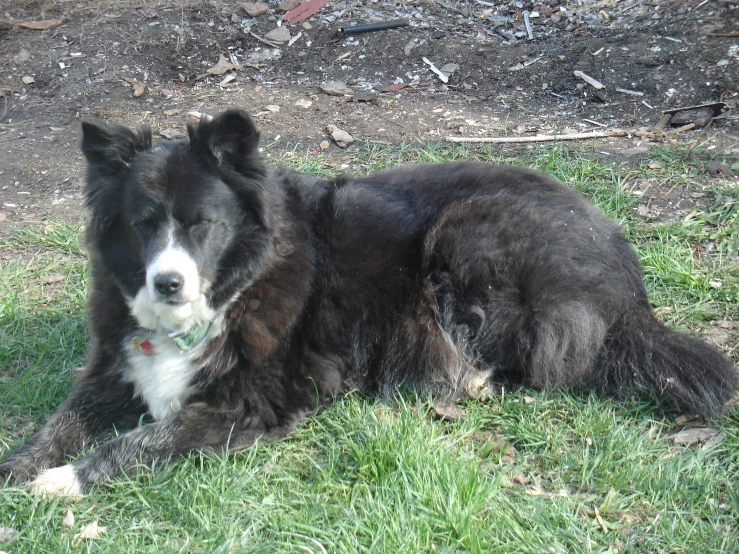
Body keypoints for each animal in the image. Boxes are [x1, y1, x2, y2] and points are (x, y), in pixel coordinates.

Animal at [2, 106, 736, 492]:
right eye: (144, 225)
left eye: (203, 224)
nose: (168, 283)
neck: (233, 291)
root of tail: (627, 279)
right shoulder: (114, 370)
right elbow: (60, 421)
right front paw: (22, 467)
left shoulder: (246, 403)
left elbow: (147, 439)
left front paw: (63, 482)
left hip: (467, 234)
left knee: (549, 356)